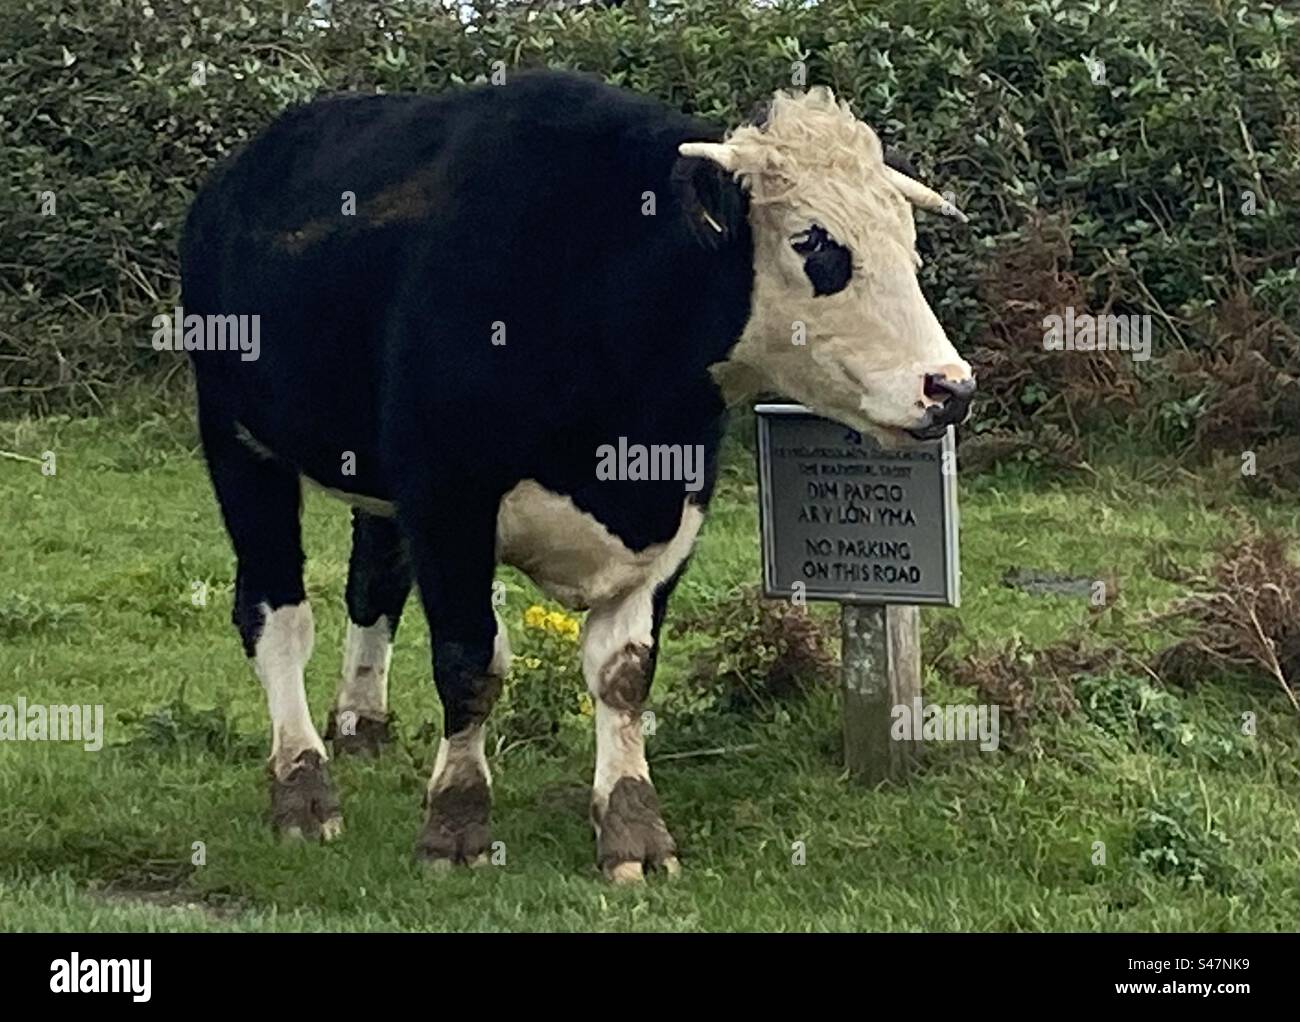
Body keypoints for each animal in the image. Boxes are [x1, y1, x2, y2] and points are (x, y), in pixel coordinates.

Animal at [179, 70, 973, 883]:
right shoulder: (446, 497)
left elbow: (623, 672)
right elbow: (469, 660)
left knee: (373, 584)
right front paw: (455, 823)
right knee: (275, 615)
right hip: (237, 442)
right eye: (813, 241)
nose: (949, 387)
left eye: (908, 243)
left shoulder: (677, 506)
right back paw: (303, 786)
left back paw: (361, 722)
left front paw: (632, 828)